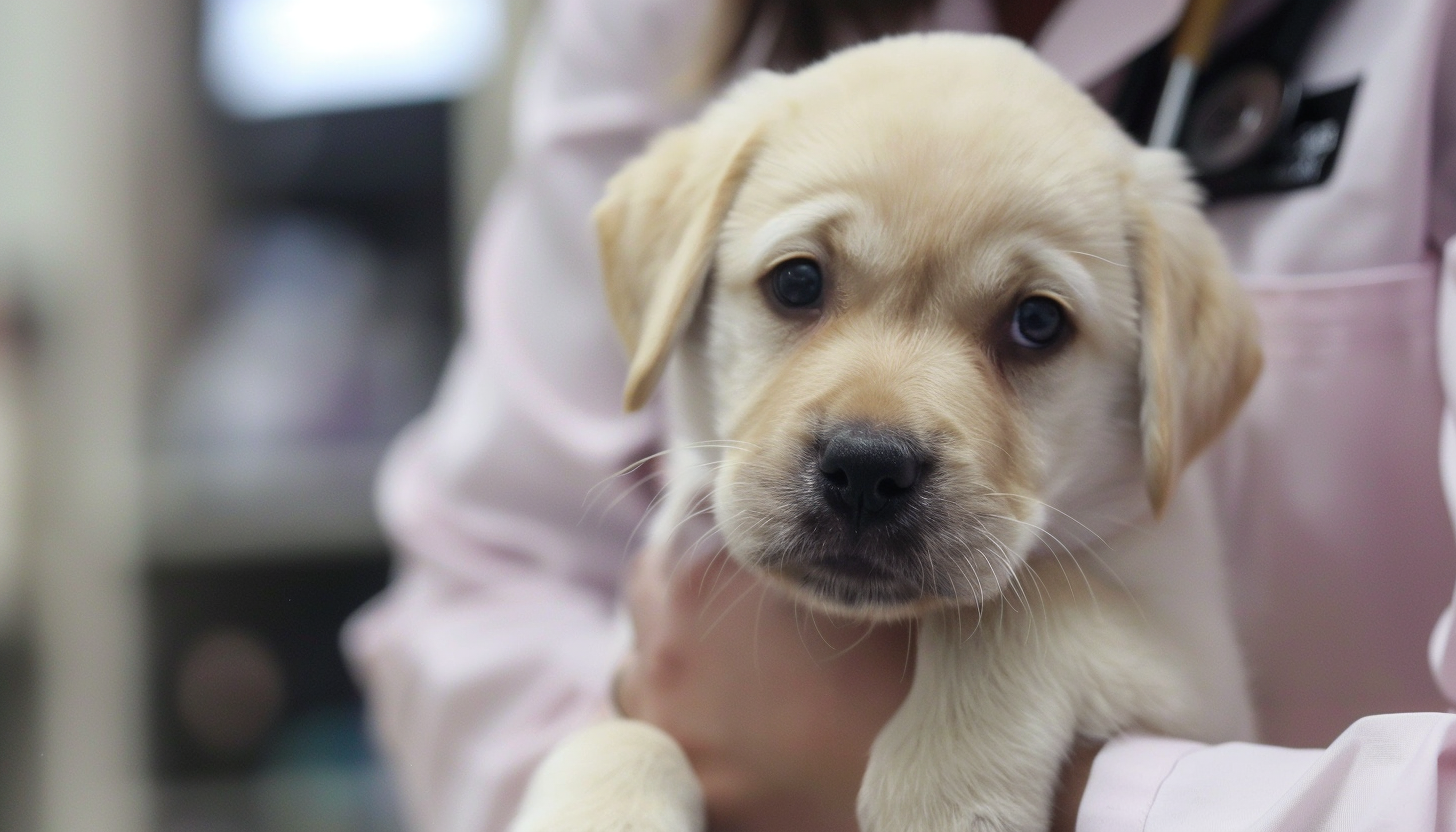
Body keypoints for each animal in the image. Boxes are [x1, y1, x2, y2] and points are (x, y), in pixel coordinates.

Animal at [515, 32, 1263, 832]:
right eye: (797, 282)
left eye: (1037, 322)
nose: (867, 470)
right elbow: (616, 734)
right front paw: (601, 804)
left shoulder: (1205, 674)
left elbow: (1029, 604)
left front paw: (945, 789)